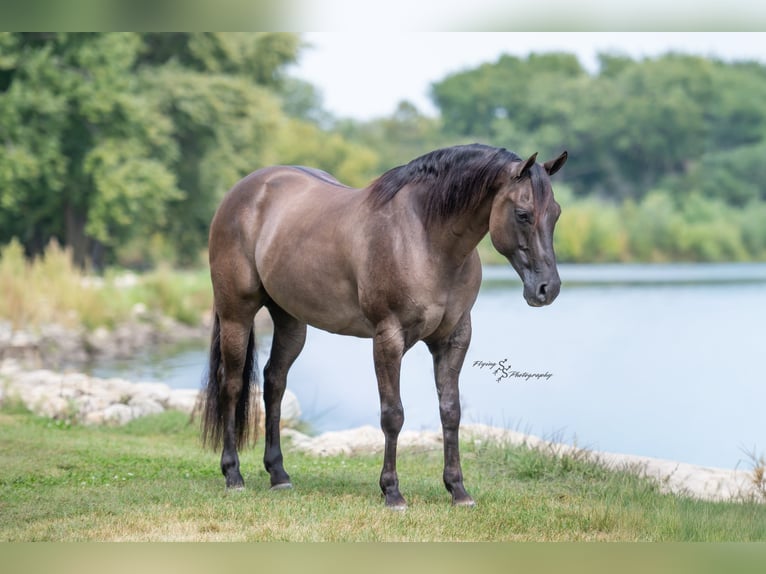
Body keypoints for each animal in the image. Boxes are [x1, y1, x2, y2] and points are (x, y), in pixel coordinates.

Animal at [201, 143, 567, 508]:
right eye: (522, 213)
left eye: (556, 213)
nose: (547, 289)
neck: (425, 238)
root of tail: (244, 191)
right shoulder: (388, 338)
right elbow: (393, 414)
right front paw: (392, 492)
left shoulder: (454, 339)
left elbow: (451, 411)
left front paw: (458, 490)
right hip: (236, 313)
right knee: (232, 384)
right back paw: (233, 475)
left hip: (291, 321)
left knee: (274, 382)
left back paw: (278, 475)